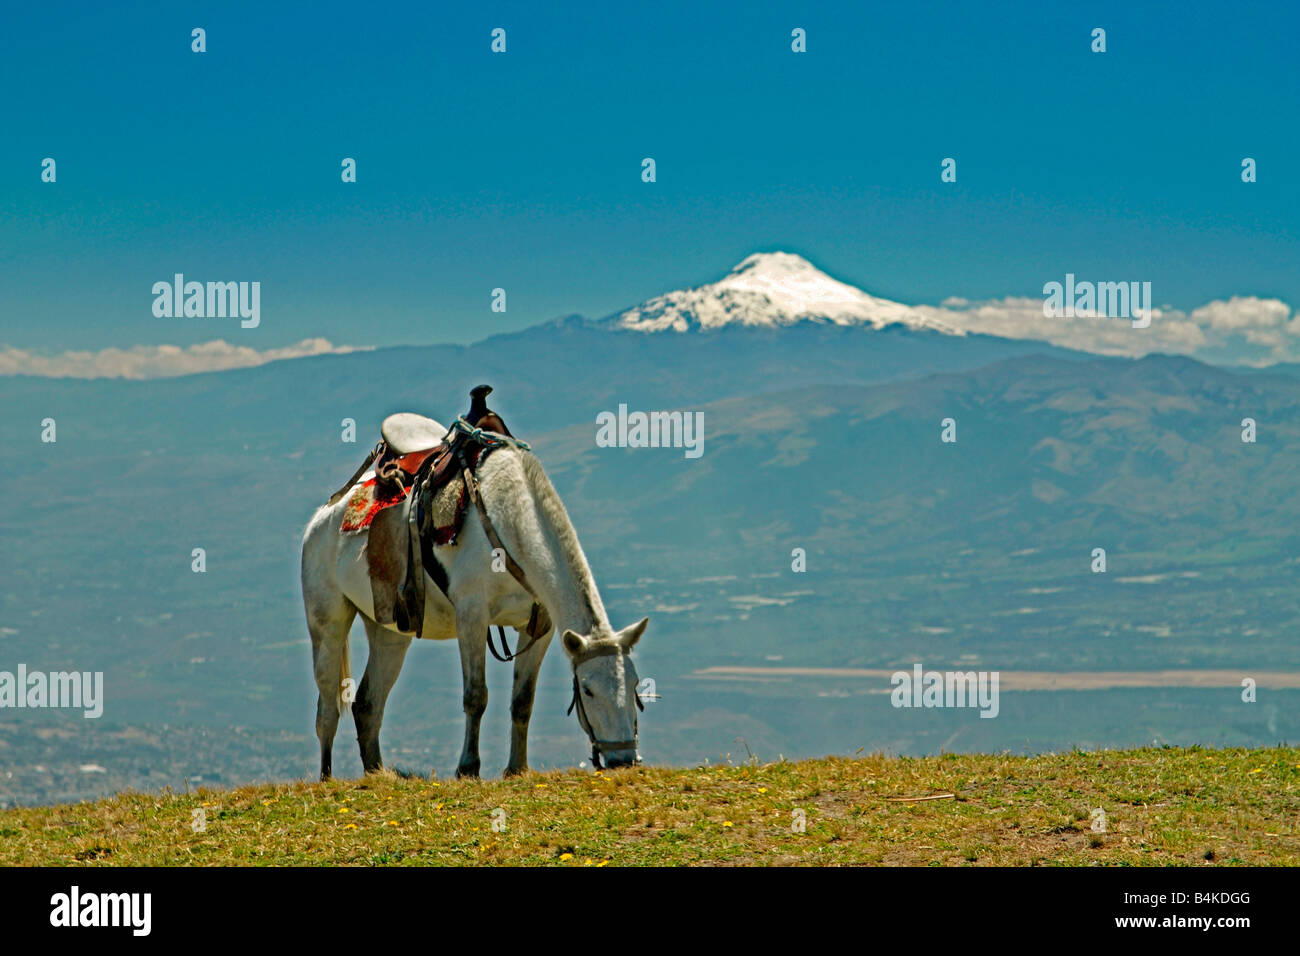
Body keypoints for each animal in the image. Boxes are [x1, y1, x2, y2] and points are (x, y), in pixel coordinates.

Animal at [301, 429, 650, 780]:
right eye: (588, 689)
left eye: (635, 683)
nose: (623, 760)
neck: (507, 522)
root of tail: (321, 517)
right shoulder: (472, 617)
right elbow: (476, 696)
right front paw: (468, 768)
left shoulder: (540, 628)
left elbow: (523, 701)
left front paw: (517, 768)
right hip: (327, 624)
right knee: (328, 707)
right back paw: (327, 777)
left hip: (389, 632)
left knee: (368, 705)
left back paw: (376, 773)